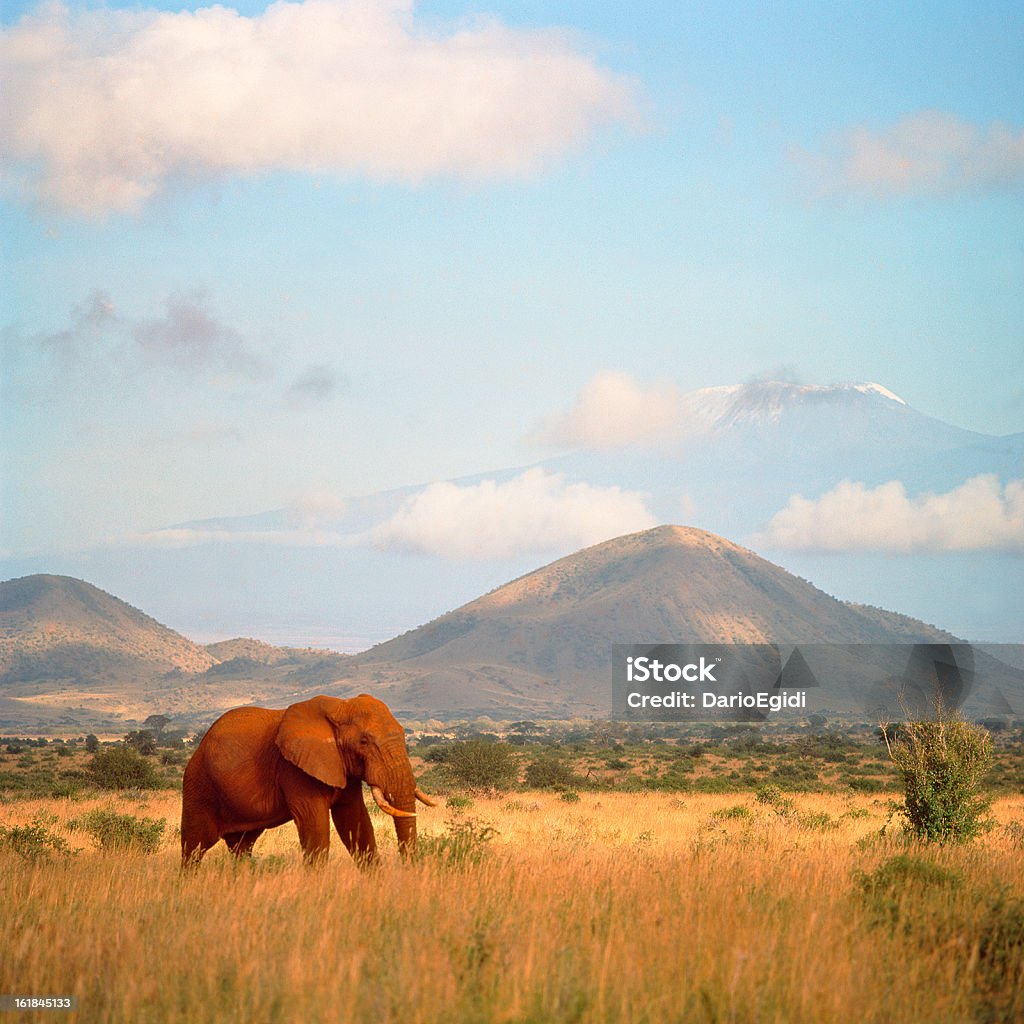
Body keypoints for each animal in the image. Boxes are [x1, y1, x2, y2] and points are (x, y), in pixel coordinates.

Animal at [178, 692, 434, 868]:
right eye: (364, 741)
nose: (408, 870)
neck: (341, 706)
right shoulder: (294, 770)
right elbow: (315, 825)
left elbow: (356, 821)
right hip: (198, 785)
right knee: (193, 847)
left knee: (241, 847)